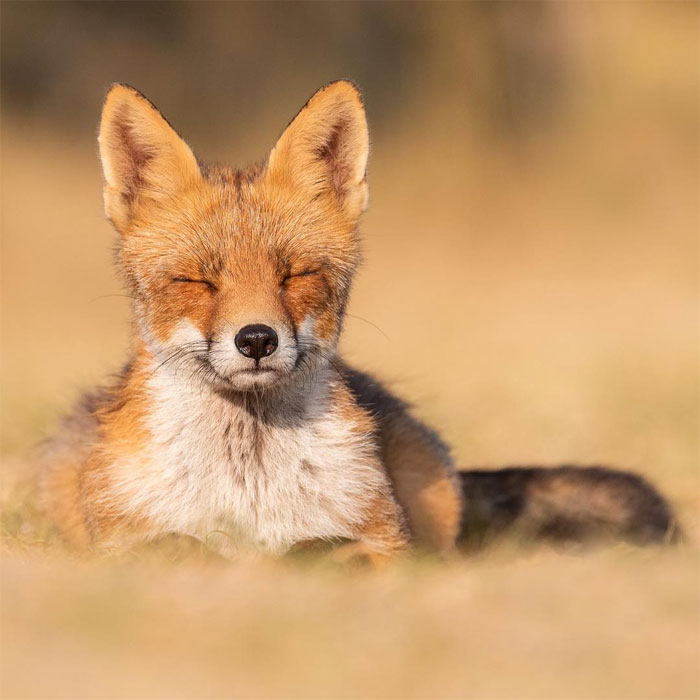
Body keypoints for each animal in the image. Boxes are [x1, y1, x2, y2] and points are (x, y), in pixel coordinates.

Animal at [39, 80, 680, 564]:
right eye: (198, 282)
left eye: (295, 275)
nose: (256, 339)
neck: (248, 481)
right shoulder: (117, 543)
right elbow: (178, 546)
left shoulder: (389, 544)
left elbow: (333, 551)